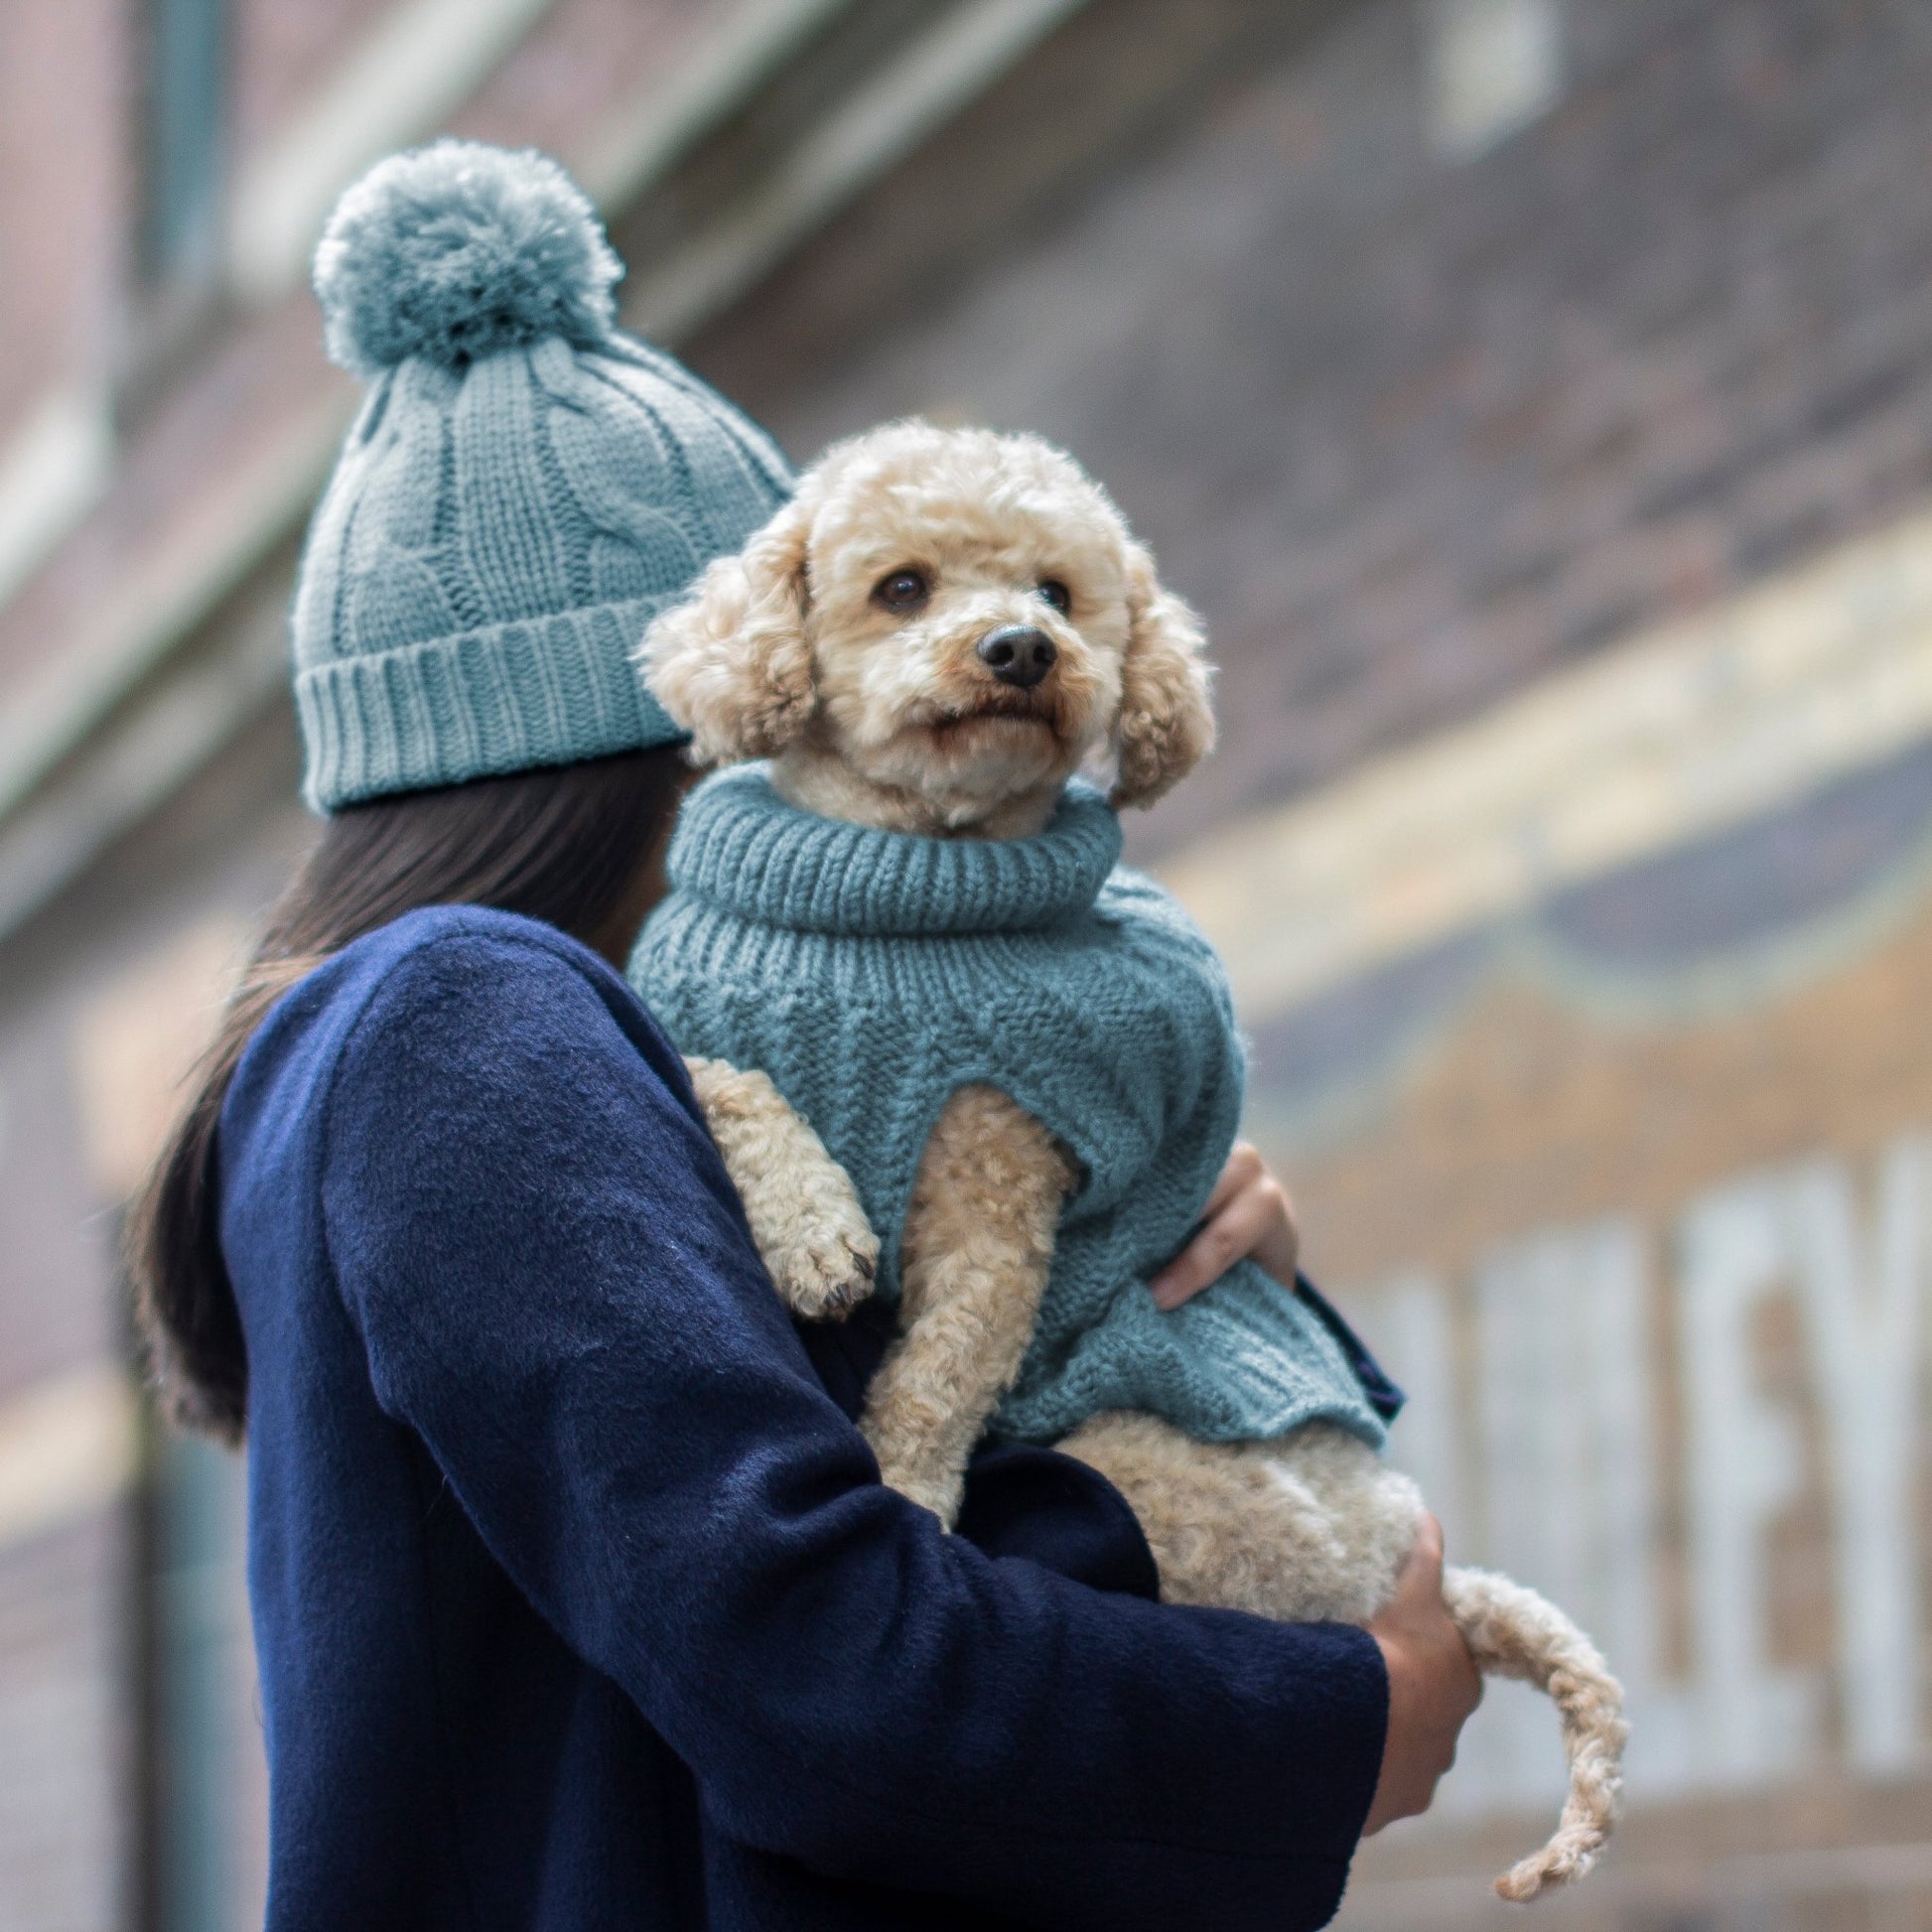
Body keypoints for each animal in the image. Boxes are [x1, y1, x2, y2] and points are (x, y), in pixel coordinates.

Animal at [644, 427, 1614, 1900]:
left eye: (1056, 588)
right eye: (901, 586)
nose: (1019, 648)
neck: (890, 882)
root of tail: (1413, 1552)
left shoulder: (997, 1176)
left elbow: (937, 1375)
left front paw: (906, 1496)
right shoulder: (683, 1015)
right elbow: (726, 1076)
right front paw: (811, 1224)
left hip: (1174, 1477)